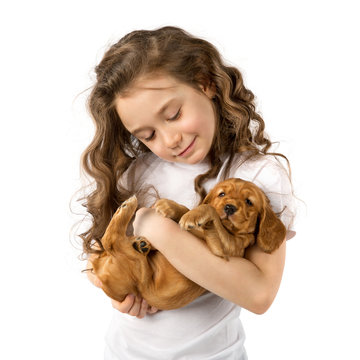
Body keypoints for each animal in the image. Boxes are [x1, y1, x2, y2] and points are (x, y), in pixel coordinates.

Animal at [90, 177, 286, 310]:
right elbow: (192, 209)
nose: (229, 207)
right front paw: (170, 207)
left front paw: (192, 216)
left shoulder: (225, 248)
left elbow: (208, 209)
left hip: (134, 268)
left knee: (111, 241)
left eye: (249, 202)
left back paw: (128, 209)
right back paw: (140, 242)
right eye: (222, 194)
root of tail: (99, 266)